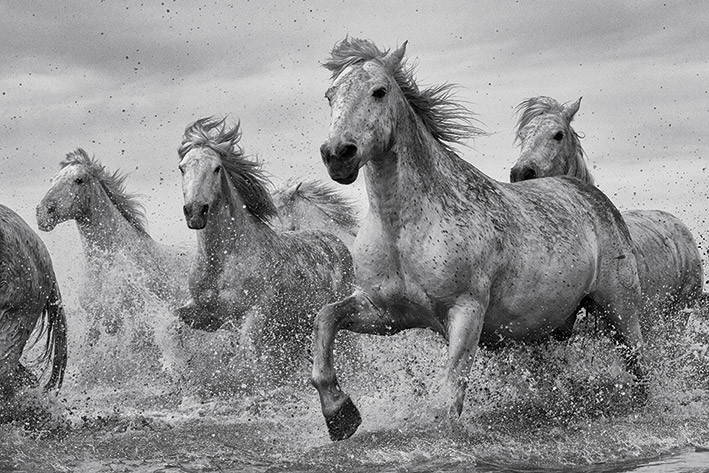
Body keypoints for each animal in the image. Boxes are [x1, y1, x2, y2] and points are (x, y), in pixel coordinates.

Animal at [175, 117, 354, 376]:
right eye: (182, 168)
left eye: (216, 168)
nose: (195, 211)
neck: (222, 261)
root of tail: (336, 242)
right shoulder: (206, 314)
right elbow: (171, 323)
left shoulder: (254, 314)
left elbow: (243, 359)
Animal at [312, 38, 648, 441]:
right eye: (330, 96)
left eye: (379, 91)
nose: (337, 155)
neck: (404, 230)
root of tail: (589, 193)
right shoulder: (386, 312)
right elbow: (326, 318)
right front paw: (338, 413)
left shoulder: (466, 311)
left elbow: (452, 389)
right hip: (554, 328)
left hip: (620, 310)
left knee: (642, 367)